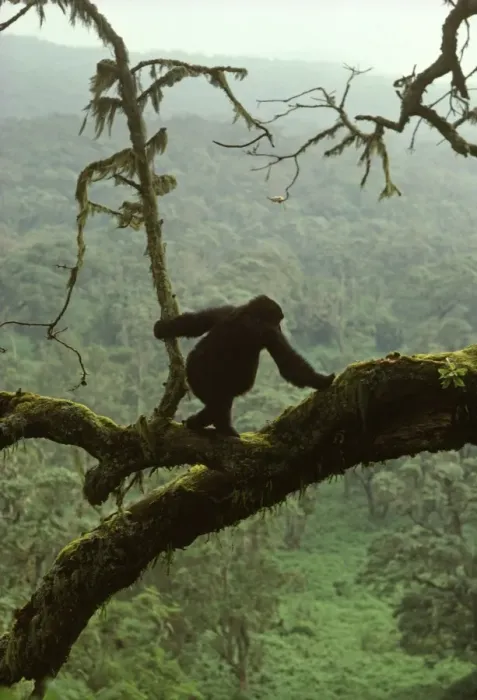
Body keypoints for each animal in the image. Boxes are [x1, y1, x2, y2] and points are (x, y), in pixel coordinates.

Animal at [153, 295, 335, 437]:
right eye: (278, 320)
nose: (280, 327)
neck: (248, 312)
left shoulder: (227, 309)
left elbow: (196, 322)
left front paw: (162, 329)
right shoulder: (268, 331)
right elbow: (289, 365)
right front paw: (323, 381)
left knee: (217, 404)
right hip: (205, 379)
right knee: (221, 402)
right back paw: (216, 426)